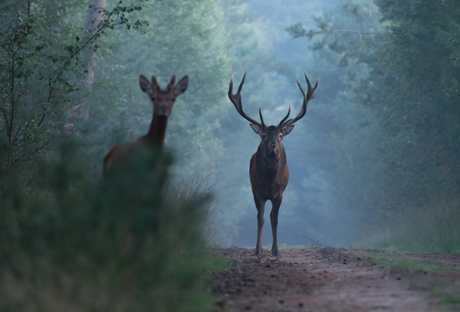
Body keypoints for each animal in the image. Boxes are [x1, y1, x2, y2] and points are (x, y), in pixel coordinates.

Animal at [228, 70, 318, 256]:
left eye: (280, 135)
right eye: (264, 135)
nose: (273, 144)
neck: (270, 180)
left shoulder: (280, 193)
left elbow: (275, 219)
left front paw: (276, 251)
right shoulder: (257, 191)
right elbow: (260, 218)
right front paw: (257, 250)